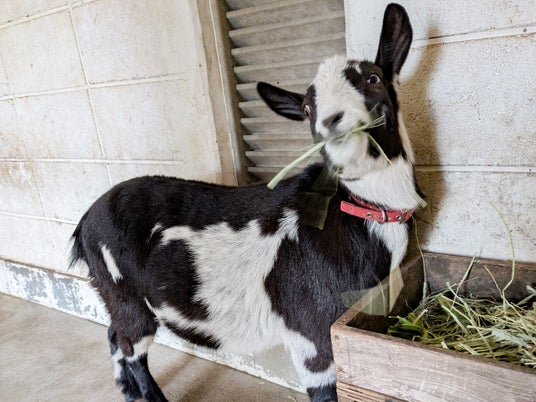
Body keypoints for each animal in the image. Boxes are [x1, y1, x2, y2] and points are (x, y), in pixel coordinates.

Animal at [70, 4, 420, 401]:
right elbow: (324, 388)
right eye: (306, 107)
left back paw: (127, 391)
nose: (333, 125)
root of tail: (84, 224)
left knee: (115, 335)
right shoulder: (312, 325)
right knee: (132, 345)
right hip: (123, 291)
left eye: (374, 78)